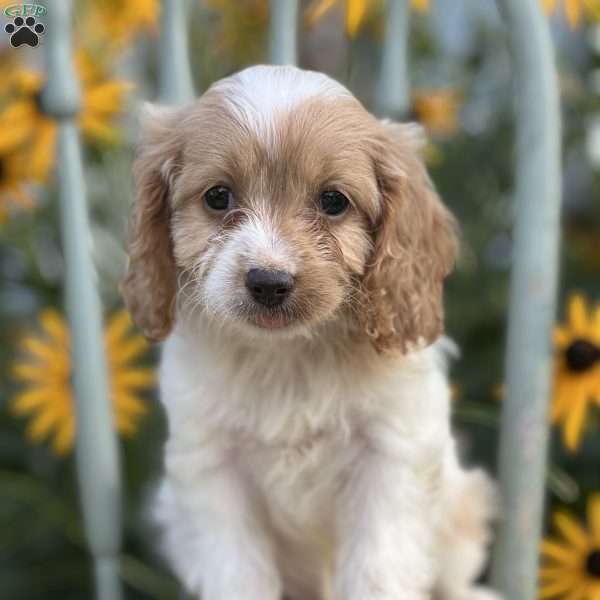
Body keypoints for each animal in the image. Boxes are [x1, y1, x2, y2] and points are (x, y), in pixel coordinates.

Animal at [124, 64, 500, 600]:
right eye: (218, 197)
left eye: (333, 202)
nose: (268, 281)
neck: (290, 353)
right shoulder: (213, 467)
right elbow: (237, 570)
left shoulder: (389, 458)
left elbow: (377, 568)